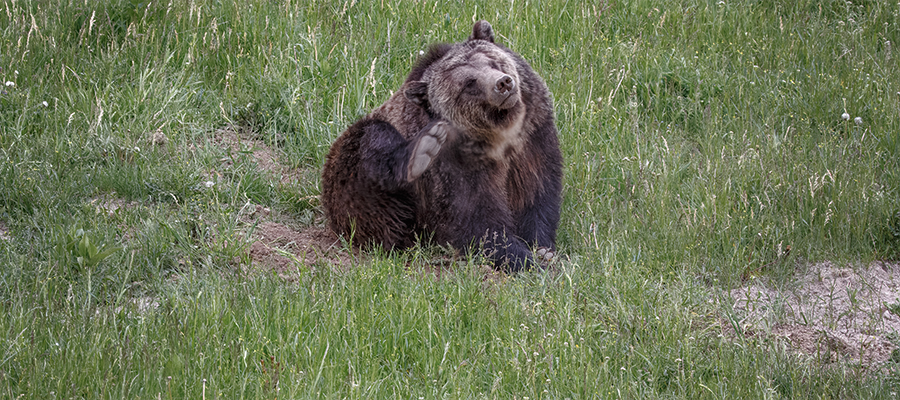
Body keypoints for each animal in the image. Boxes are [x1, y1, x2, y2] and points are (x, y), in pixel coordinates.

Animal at [321, 20, 562, 272]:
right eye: (469, 83)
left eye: (491, 61)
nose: (503, 83)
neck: (500, 136)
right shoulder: (453, 166)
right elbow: (475, 217)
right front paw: (521, 258)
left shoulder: (533, 137)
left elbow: (536, 193)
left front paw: (542, 248)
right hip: (351, 182)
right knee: (373, 145)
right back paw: (420, 151)